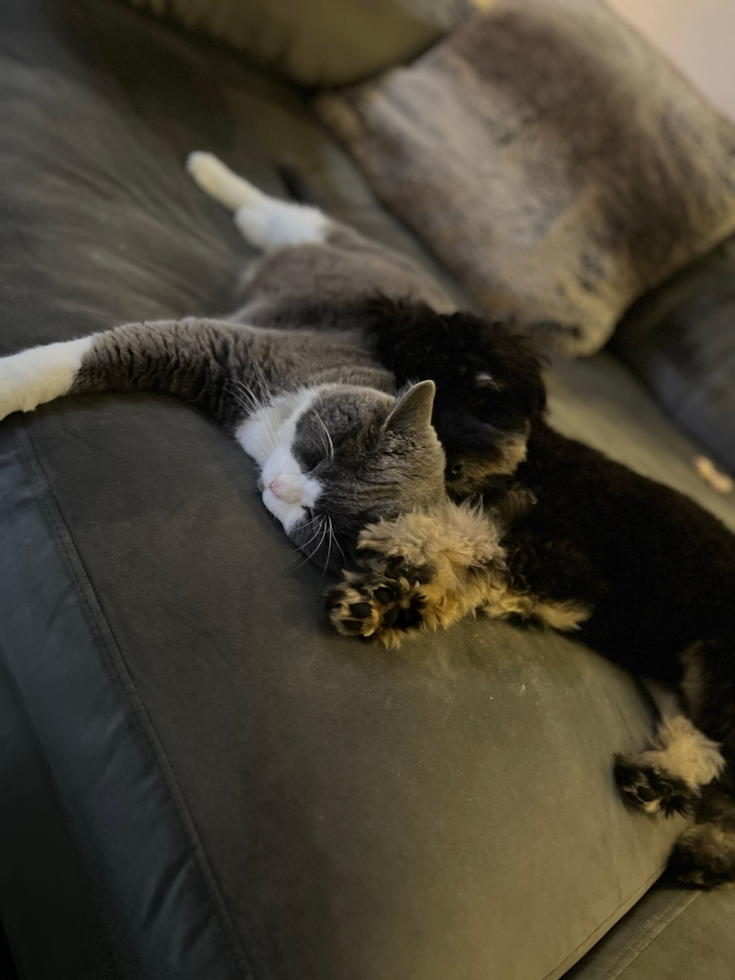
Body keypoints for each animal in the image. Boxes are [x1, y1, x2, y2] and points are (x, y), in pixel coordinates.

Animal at [0, 151, 460, 568]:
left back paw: (244, 216)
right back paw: (210, 172)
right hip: (321, 237)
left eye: (316, 517)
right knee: (291, 214)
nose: (278, 487)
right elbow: (101, 350)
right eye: (316, 457)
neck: (267, 433)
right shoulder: (227, 344)